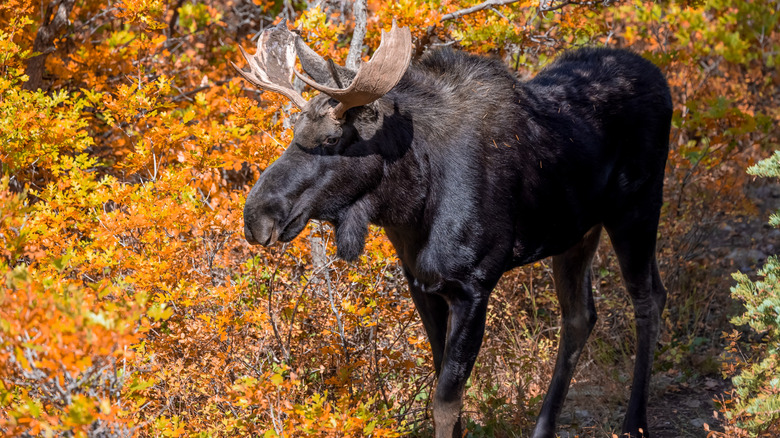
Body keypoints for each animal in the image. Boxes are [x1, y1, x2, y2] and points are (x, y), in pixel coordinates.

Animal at [232, 22, 672, 438]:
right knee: (580, 315)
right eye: (293, 131)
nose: (256, 216)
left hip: (637, 209)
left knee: (650, 298)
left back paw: (635, 423)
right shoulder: (421, 284)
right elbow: (443, 381)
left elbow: (446, 401)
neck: (411, 202)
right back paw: (545, 427)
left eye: (331, 138)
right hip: (577, 233)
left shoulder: (473, 287)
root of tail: (661, 80)